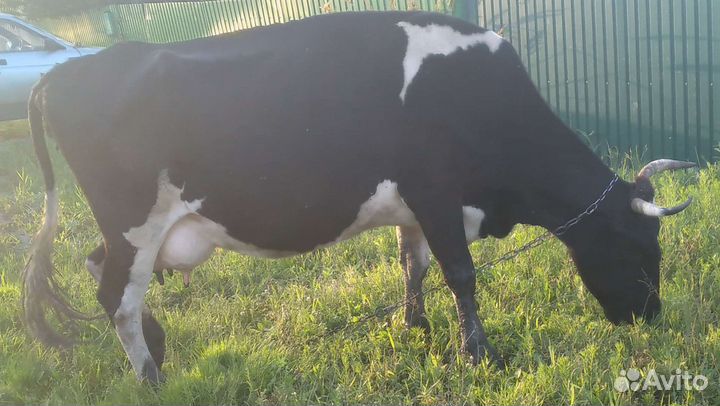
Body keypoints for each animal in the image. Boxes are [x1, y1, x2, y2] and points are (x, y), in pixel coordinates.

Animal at [22, 11, 695, 384]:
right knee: (115, 298)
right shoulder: (437, 192)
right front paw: (480, 355)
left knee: (96, 268)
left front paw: (416, 326)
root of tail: (69, 71)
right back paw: (150, 377)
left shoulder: (415, 206)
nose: (649, 316)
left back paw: (158, 344)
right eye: (645, 250)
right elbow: (461, 273)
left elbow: (412, 263)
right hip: (135, 222)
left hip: (132, 231)